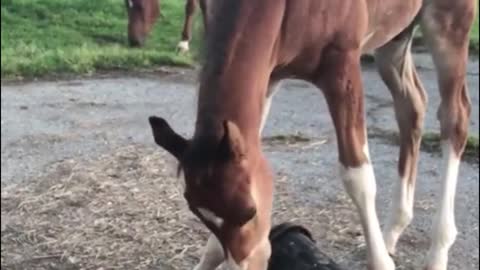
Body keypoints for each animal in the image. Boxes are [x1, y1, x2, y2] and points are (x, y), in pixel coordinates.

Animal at [147, 0, 476, 270]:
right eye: (199, 214)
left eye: (250, 212)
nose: (249, 265)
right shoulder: (270, 75)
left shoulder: (343, 66)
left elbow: (358, 177)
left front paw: (381, 263)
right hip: (396, 35)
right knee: (412, 107)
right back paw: (393, 231)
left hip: (449, 20)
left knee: (455, 117)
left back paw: (438, 252)